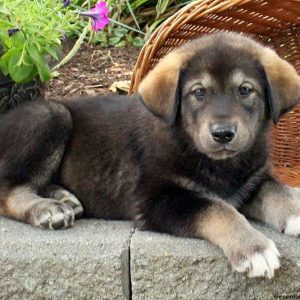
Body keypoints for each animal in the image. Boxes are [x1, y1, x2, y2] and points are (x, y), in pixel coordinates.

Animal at [0, 32, 300, 278]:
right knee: (9, 190)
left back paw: (65, 198)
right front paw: (253, 248)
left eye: (245, 90)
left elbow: (278, 192)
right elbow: (218, 210)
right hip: (51, 115)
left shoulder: (252, 182)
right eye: (199, 92)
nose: (223, 134)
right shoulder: (157, 200)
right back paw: (47, 209)